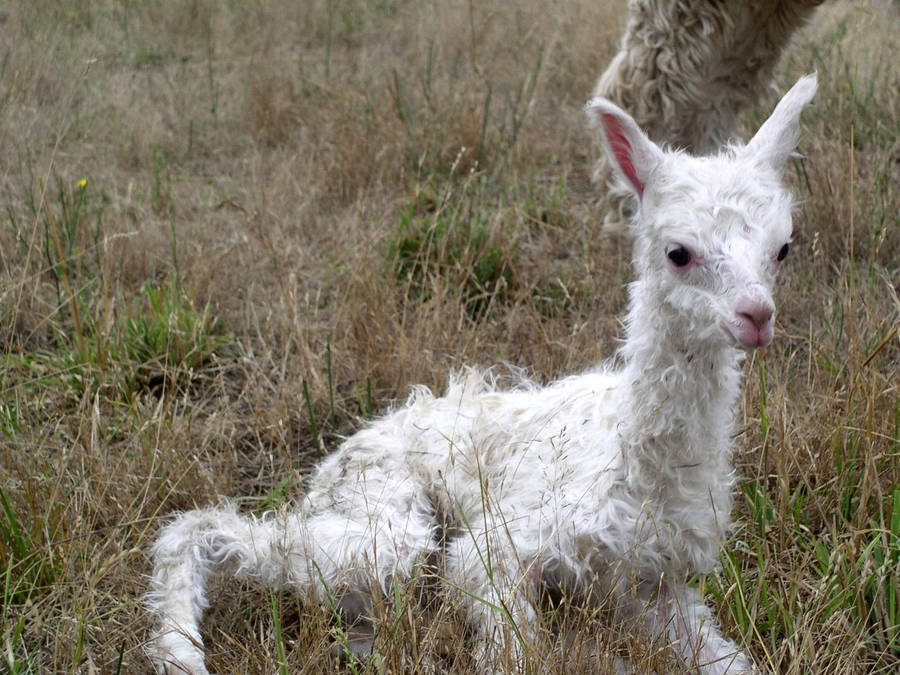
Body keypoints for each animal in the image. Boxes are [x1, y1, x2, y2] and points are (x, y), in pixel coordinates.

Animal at [147, 73, 818, 675]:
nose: (756, 316)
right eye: (679, 252)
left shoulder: (652, 584)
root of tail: (334, 462)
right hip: (391, 526)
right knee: (199, 527)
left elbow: (729, 661)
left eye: (783, 248)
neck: (636, 459)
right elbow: (512, 645)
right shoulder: (497, 549)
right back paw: (181, 653)